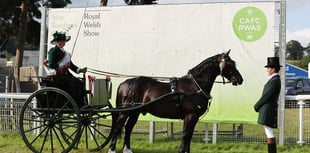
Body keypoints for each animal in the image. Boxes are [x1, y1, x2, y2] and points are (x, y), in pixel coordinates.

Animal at [108, 50, 243, 153]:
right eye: (229, 64)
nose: (240, 79)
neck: (194, 86)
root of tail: (126, 83)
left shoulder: (193, 117)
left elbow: (189, 135)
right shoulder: (190, 115)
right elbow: (185, 135)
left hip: (135, 112)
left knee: (128, 128)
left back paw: (127, 150)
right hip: (125, 112)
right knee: (118, 127)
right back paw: (112, 149)